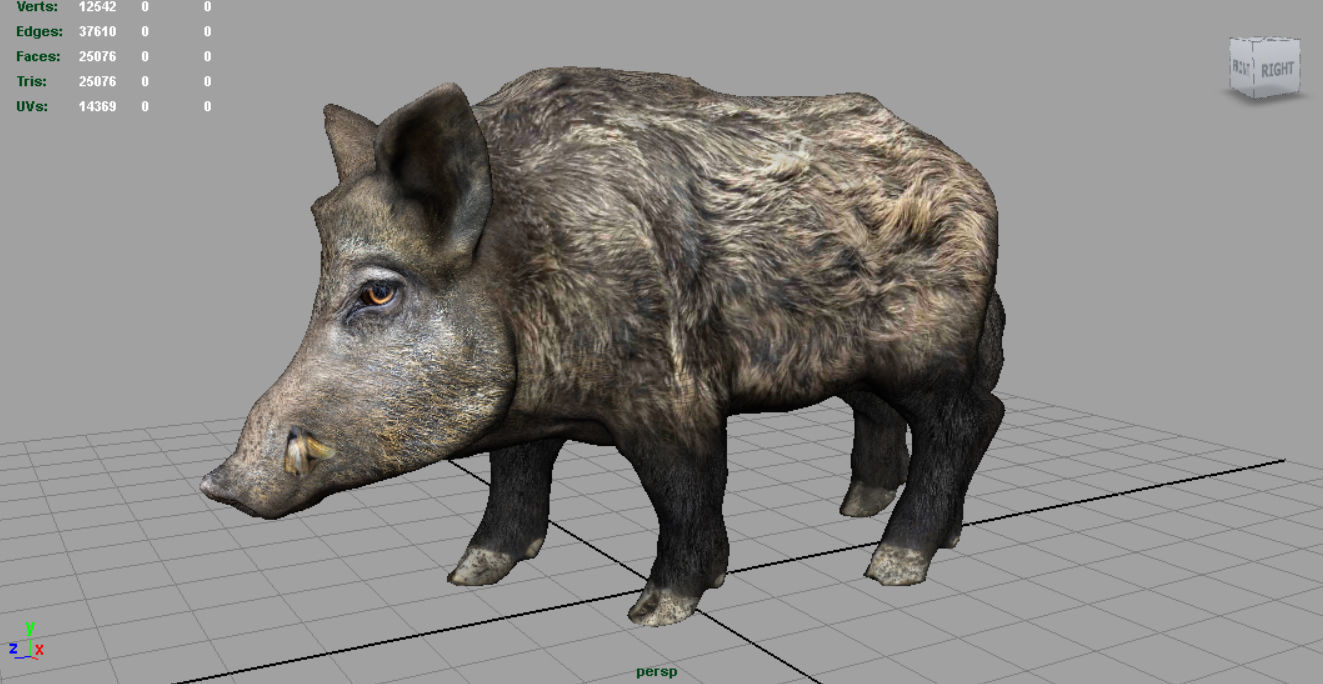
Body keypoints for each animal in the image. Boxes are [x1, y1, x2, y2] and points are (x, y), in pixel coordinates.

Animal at [201, 66, 1006, 627]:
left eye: (377, 292)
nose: (218, 483)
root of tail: (973, 178)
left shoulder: (674, 395)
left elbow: (684, 489)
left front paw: (655, 614)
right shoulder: (528, 419)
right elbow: (515, 475)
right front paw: (470, 575)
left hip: (927, 347)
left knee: (969, 418)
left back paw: (892, 565)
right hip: (855, 359)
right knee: (902, 413)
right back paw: (863, 514)